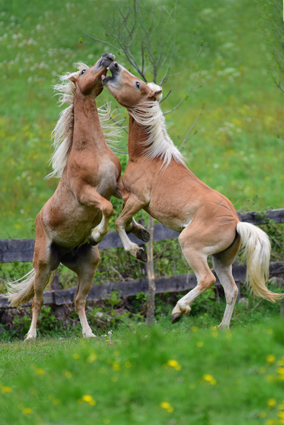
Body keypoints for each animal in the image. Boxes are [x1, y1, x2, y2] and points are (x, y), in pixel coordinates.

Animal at [4, 53, 149, 340]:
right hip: (43, 265)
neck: (92, 150)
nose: (108, 58)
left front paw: (139, 234)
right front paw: (98, 234)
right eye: (83, 72)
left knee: (78, 300)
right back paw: (31, 336)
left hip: (88, 265)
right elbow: (108, 209)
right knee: (38, 301)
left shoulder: (115, 185)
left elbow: (127, 204)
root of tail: (63, 255)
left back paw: (88, 334)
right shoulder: (86, 193)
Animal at [102, 61, 282, 330]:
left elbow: (119, 222)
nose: (112, 64)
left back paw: (179, 311)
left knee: (206, 279)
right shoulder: (127, 195)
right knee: (232, 290)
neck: (149, 156)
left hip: (190, 246)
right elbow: (124, 218)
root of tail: (236, 223)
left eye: (137, 83)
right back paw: (222, 328)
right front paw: (142, 233)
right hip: (221, 260)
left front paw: (137, 251)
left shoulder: (137, 199)